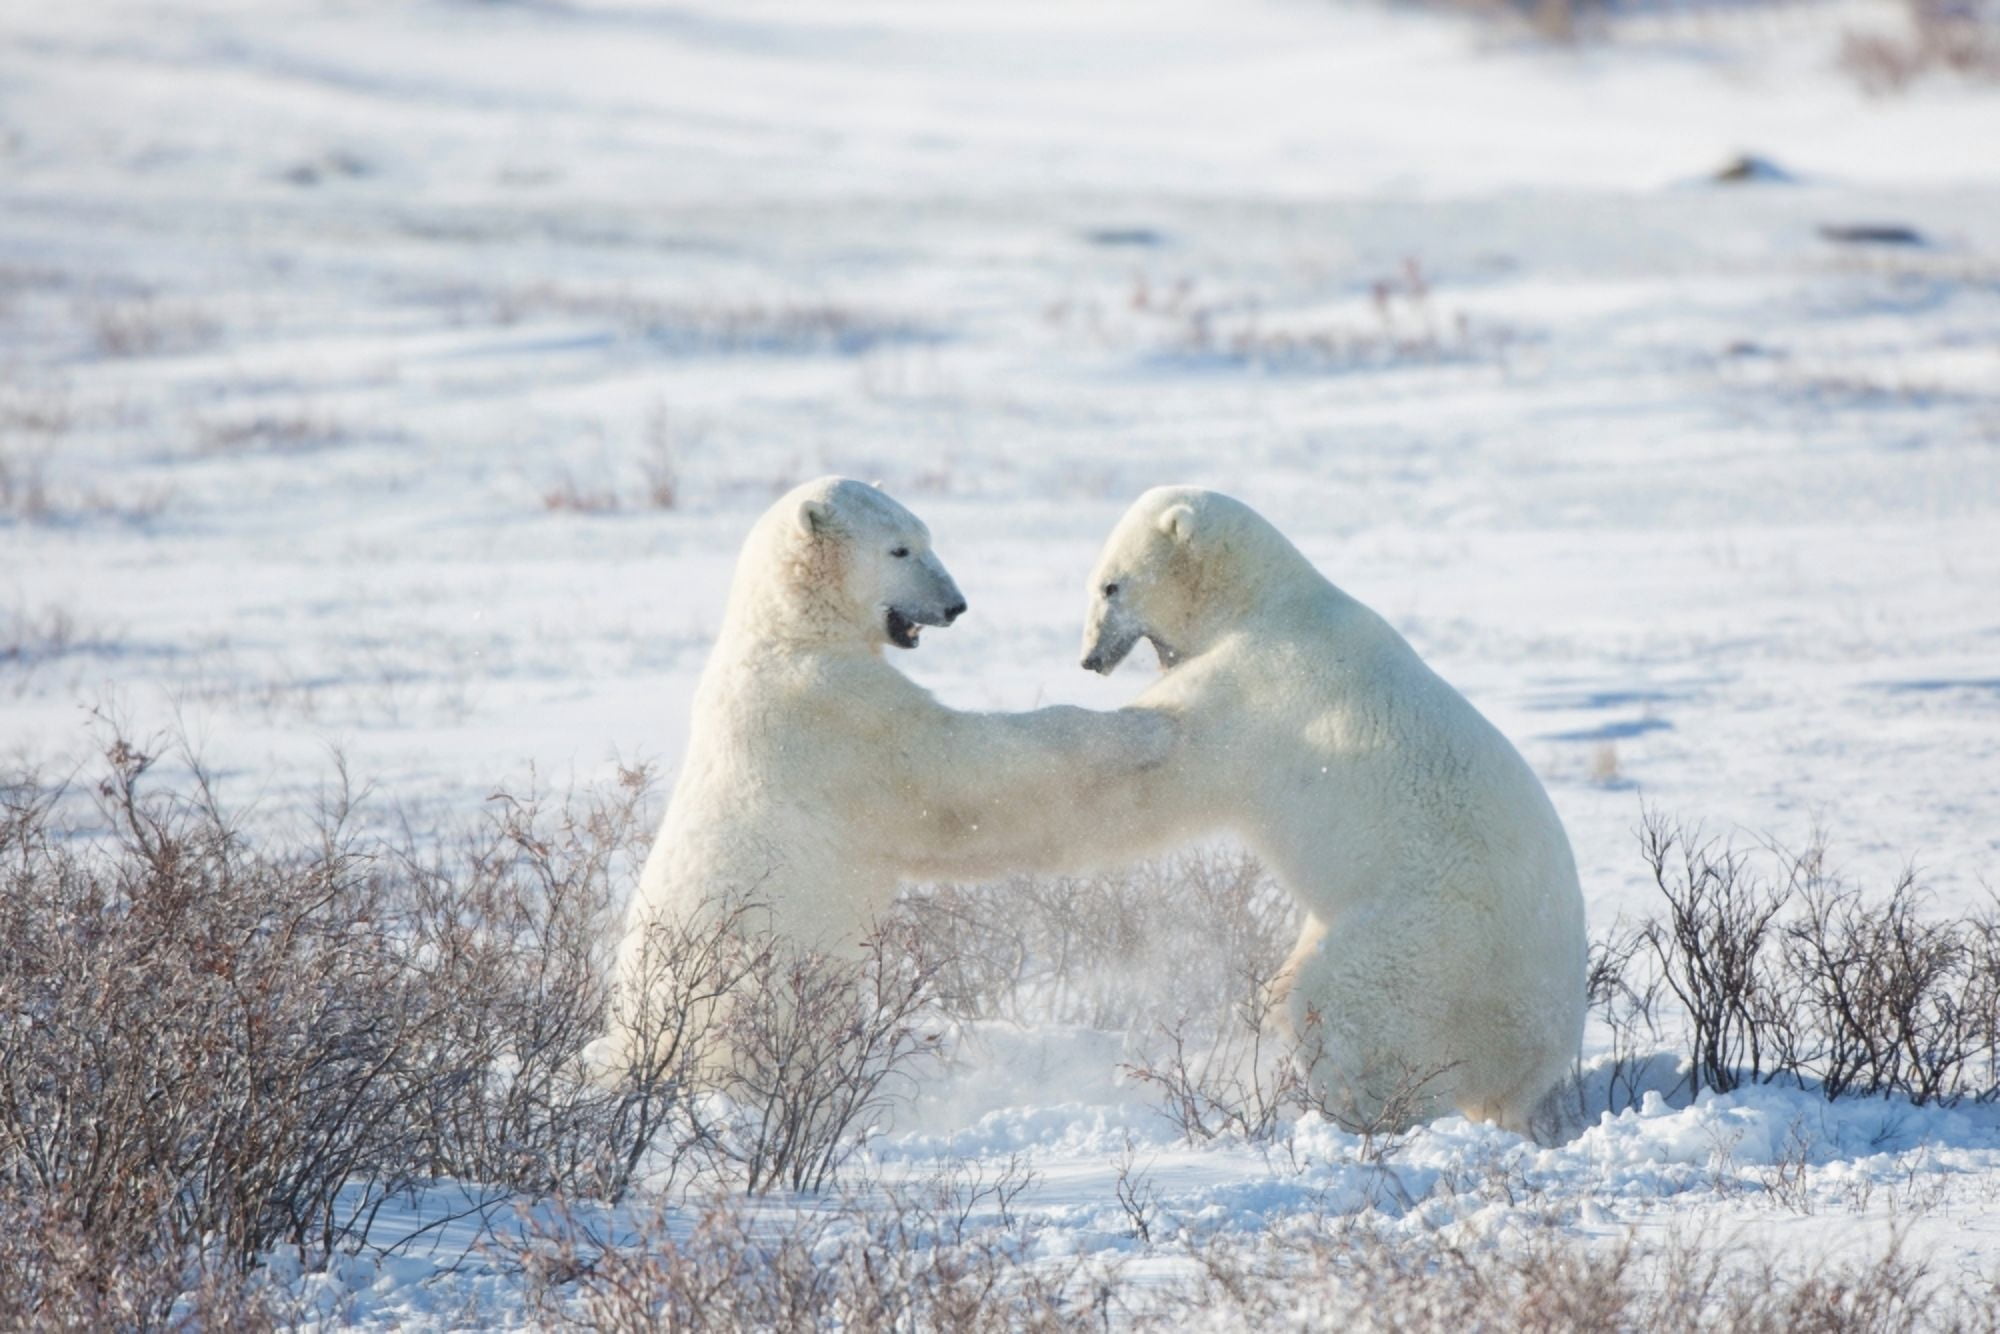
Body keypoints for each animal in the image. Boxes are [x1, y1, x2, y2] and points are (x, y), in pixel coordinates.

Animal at [596, 476, 1178, 1076]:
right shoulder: (835, 715)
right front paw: (1144, 728)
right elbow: (954, 775)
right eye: (900, 549)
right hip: (738, 981)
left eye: (926, 537)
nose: (955, 605)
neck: (789, 633)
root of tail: (633, 1042)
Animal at [1077, 486, 1588, 1136]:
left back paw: (1354, 1108)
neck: (1263, 599)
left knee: (1342, 1003)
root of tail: (1537, 1061)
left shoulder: (1257, 682)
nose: (1089, 659)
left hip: (1429, 946)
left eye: (1110, 586)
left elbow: (1167, 765)